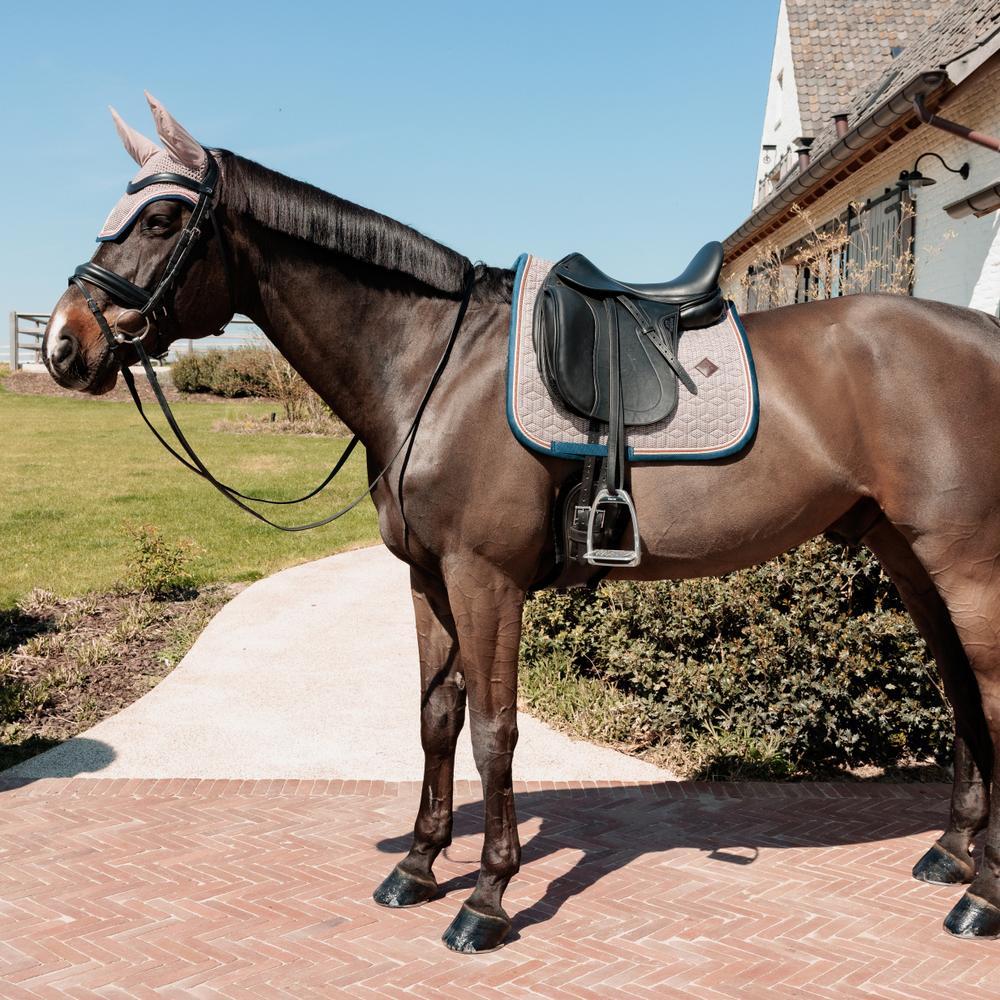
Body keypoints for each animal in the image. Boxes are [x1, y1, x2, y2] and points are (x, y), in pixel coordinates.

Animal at [43, 95, 1000, 952]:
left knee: (986, 692)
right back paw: (952, 854)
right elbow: (437, 717)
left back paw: (981, 898)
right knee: (959, 693)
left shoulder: (486, 578)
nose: (64, 343)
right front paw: (419, 866)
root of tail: (981, 334)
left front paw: (488, 899)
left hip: (967, 563)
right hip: (910, 559)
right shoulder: (428, 578)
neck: (433, 366)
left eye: (161, 216)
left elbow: (494, 732)